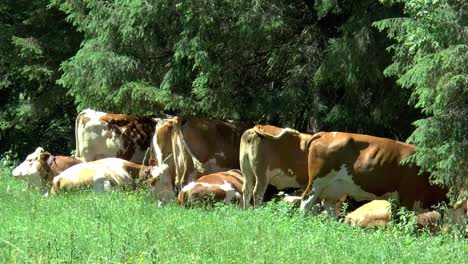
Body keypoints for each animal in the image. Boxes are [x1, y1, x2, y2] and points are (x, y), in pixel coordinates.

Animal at [298, 132, 448, 214]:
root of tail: (325, 134)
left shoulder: (395, 199)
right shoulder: (407, 195)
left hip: (333, 188)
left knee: (328, 206)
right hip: (317, 182)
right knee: (306, 200)